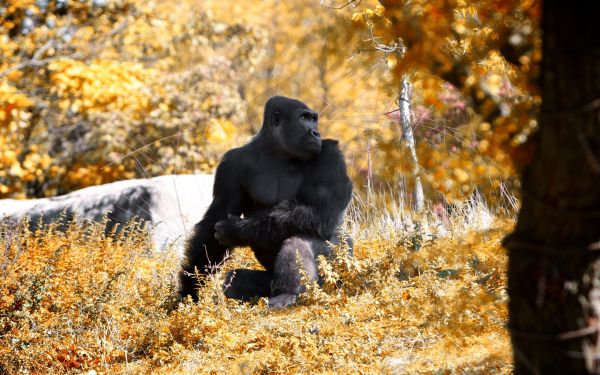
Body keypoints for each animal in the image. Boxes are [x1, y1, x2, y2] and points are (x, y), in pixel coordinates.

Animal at [180, 95, 354, 310]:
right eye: (304, 118)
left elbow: (322, 212)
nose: (316, 132)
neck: (277, 151)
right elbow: (213, 223)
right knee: (236, 281)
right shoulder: (231, 164)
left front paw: (235, 230)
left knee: (300, 238)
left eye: (314, 119)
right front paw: (189, 289)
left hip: (341, 270)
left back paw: (288, 293)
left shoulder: (330, 154)